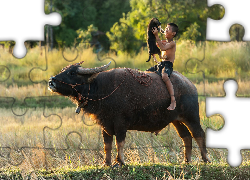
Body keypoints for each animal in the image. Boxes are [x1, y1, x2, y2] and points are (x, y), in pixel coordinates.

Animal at [48, 61, 209, 166]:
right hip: (176, 120)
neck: (102, 89)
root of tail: (190, 85)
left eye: (72, 72)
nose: (51, 81)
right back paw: (186, 161)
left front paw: (120, 162)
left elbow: (119, 142)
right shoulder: (105, 124)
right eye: (64, 70)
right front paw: (106, 163)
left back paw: (205, 159)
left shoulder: (120, 124)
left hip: (192, 117)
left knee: (198, 134)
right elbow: (107, 144)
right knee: (186, 137)